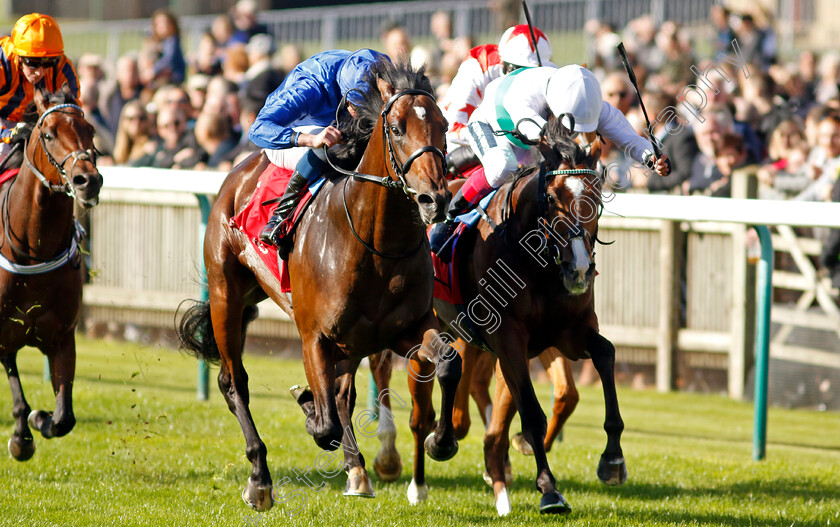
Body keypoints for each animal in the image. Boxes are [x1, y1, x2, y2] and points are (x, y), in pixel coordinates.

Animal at [0, 89, 103, 462]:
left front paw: (39, 419)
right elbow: (17, 395)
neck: (33, 250)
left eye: (90, 130)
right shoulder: (3, 334)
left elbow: (64, 418)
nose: (88, 180)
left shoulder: (62, 337)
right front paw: (21, 437)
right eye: (48, 134)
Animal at [179, 60, 466, 512]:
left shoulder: (407, 328)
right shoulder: (314, 335)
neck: (376, 242)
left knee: (343, 394)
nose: (434, 200)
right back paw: (260, 478)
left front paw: (441, 442)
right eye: (397, 127)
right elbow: (325, 424)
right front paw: (309, 407)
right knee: (233, 381)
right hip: (227, 294)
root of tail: (236, 175)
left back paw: (357, 471)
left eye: (443, 125)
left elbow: (449, 362)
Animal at [434, 116, 624, 516]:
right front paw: (549, 489)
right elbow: (532, 414)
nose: (579, 269)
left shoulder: (571, 332)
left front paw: (613, 459)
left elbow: (606, 353)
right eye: (551, 198)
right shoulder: (509, 339)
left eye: (597, 197)